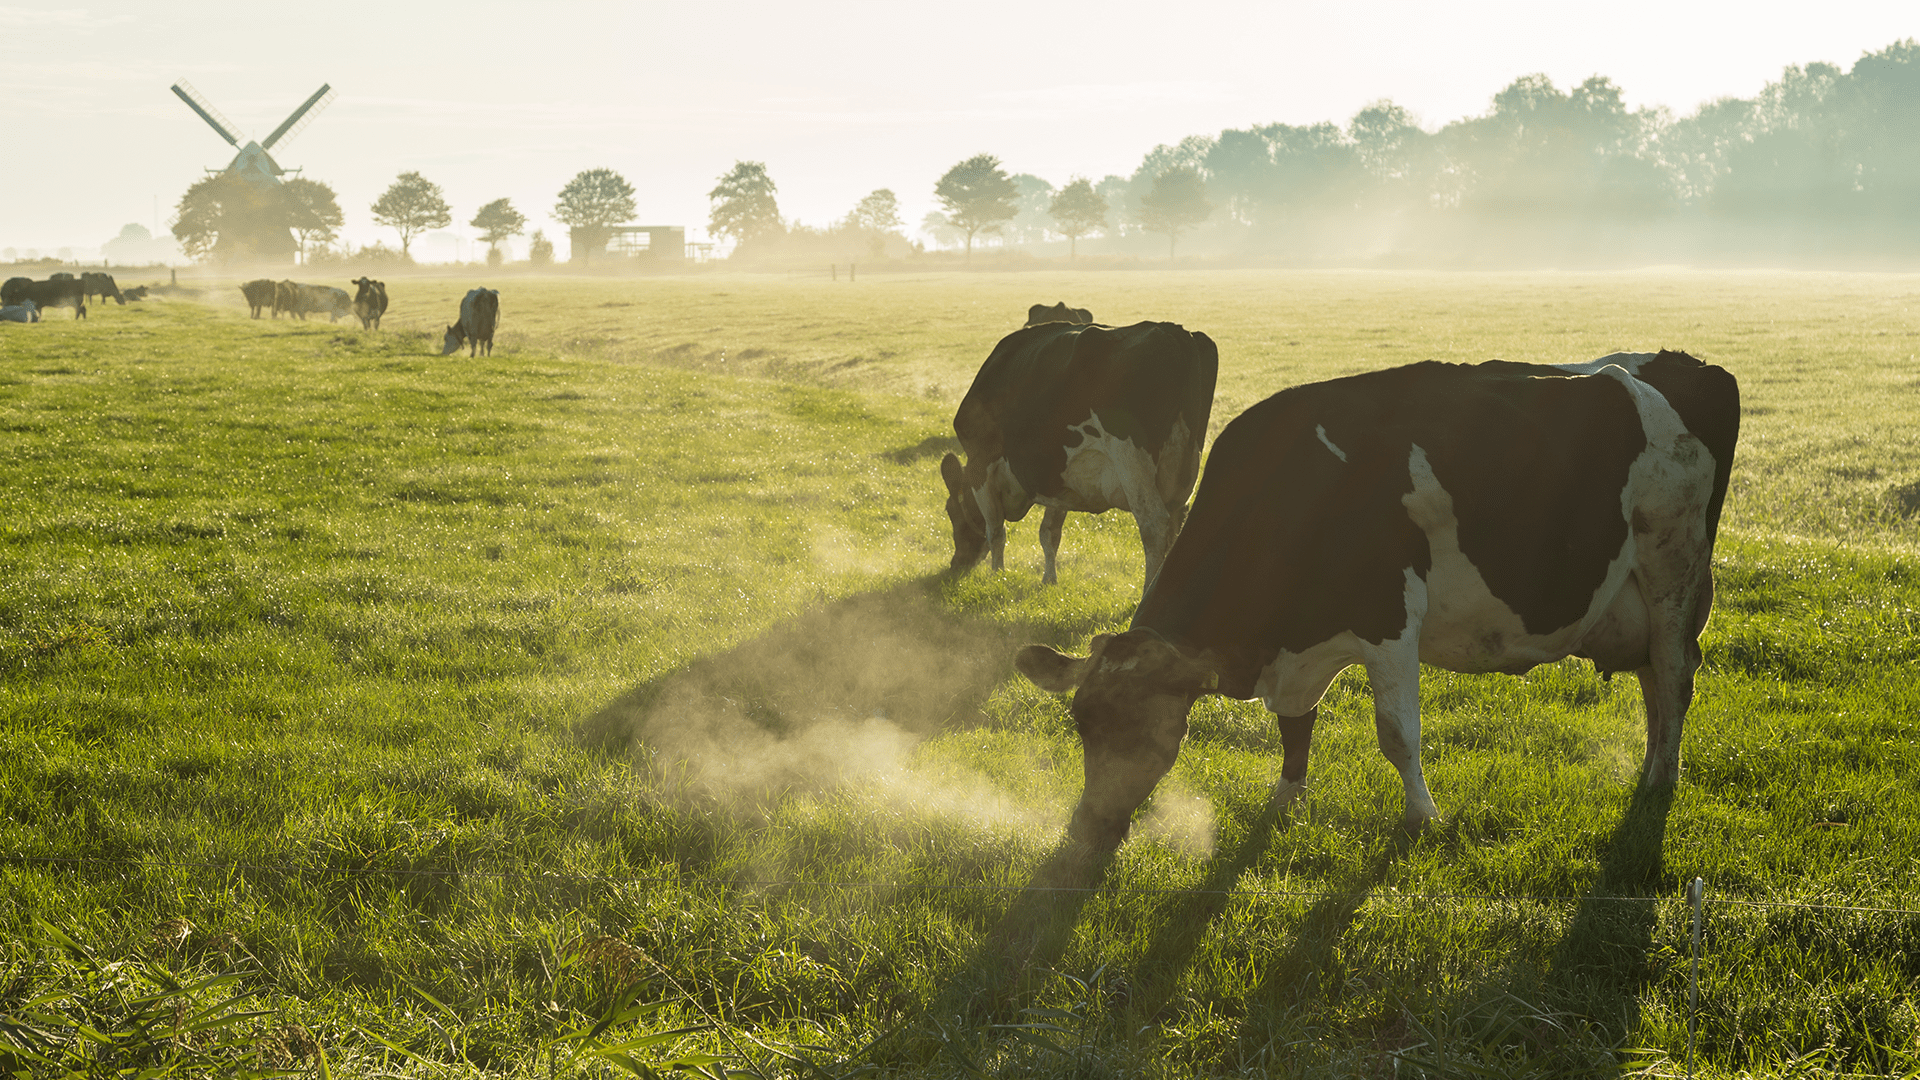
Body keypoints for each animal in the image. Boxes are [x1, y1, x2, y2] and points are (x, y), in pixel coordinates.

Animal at [940, 321, 1217, 592]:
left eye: (951, 512)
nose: (956, 564)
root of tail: (1175, 330)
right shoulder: (1057, 479)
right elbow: (1049, 532)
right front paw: (1049, 580)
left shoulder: (981, 462)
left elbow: (996, 531)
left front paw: (998, 577)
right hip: (1183, 470)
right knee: (1177, 524)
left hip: (1132, 462)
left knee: (1153, 525)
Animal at [1014, 351, 1740, 850]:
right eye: (1082, 724)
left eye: (1146, 730)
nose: (1088, 826)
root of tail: (1685, 363)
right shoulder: (1300, 647)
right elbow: (1295, 723)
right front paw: (1285, 800)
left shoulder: (1390, 619)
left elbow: (1396, 732)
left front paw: (1423, 817)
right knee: (1653, 685)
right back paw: (1651, 768)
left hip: (1674, 570)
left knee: (1674, 677)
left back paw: (1662, 780)